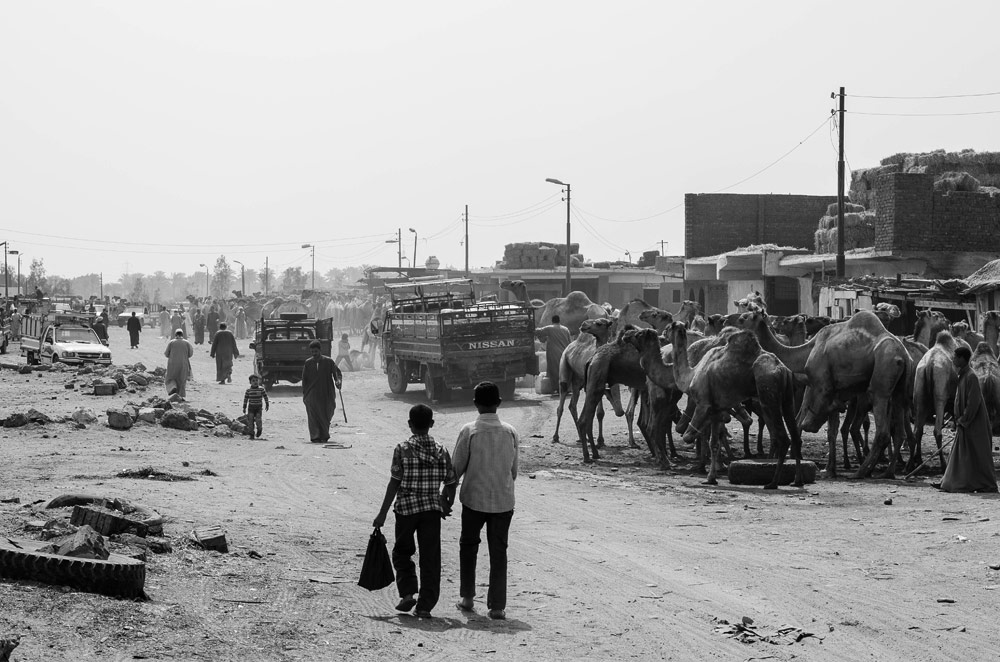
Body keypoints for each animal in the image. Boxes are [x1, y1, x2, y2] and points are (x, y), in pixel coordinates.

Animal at [672, 330, 804, 490]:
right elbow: (713, 442)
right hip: (787, 398)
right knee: (795, 437)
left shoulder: (703, 403)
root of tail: (782, 369)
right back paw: (797, 480)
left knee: (783, 438)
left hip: (768, 392)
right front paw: (711, 478)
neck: (691, 373)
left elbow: (688, 436)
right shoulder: (715, 410)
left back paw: (773, 483)